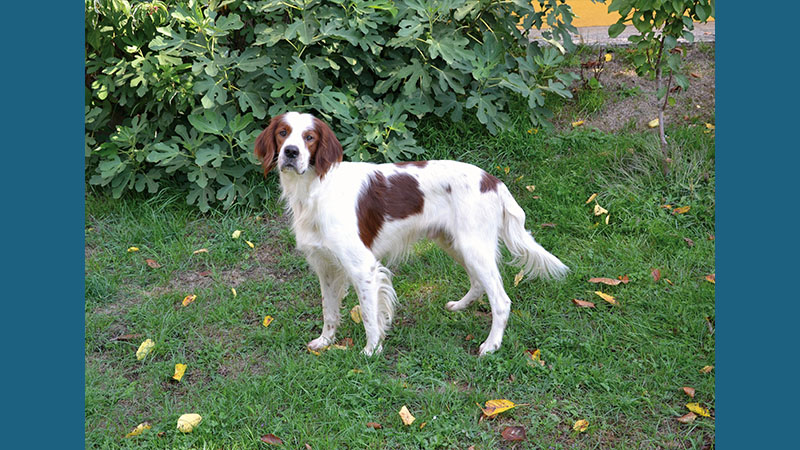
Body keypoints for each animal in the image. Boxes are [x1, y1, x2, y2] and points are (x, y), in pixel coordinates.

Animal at [256, 111, 568, 356]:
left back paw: (491, 345)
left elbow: (369, 314)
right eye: (283, 133)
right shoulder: (326, 267)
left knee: (501, 301)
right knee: (479, 284)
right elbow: (329, 310)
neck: (315, 189)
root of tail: (493, 180)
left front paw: (371, 351)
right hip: (457, 244)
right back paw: (460, 306)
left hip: (473, 247)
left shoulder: (362, 267)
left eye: (309, 137)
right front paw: (325, 341)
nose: (291, 152)